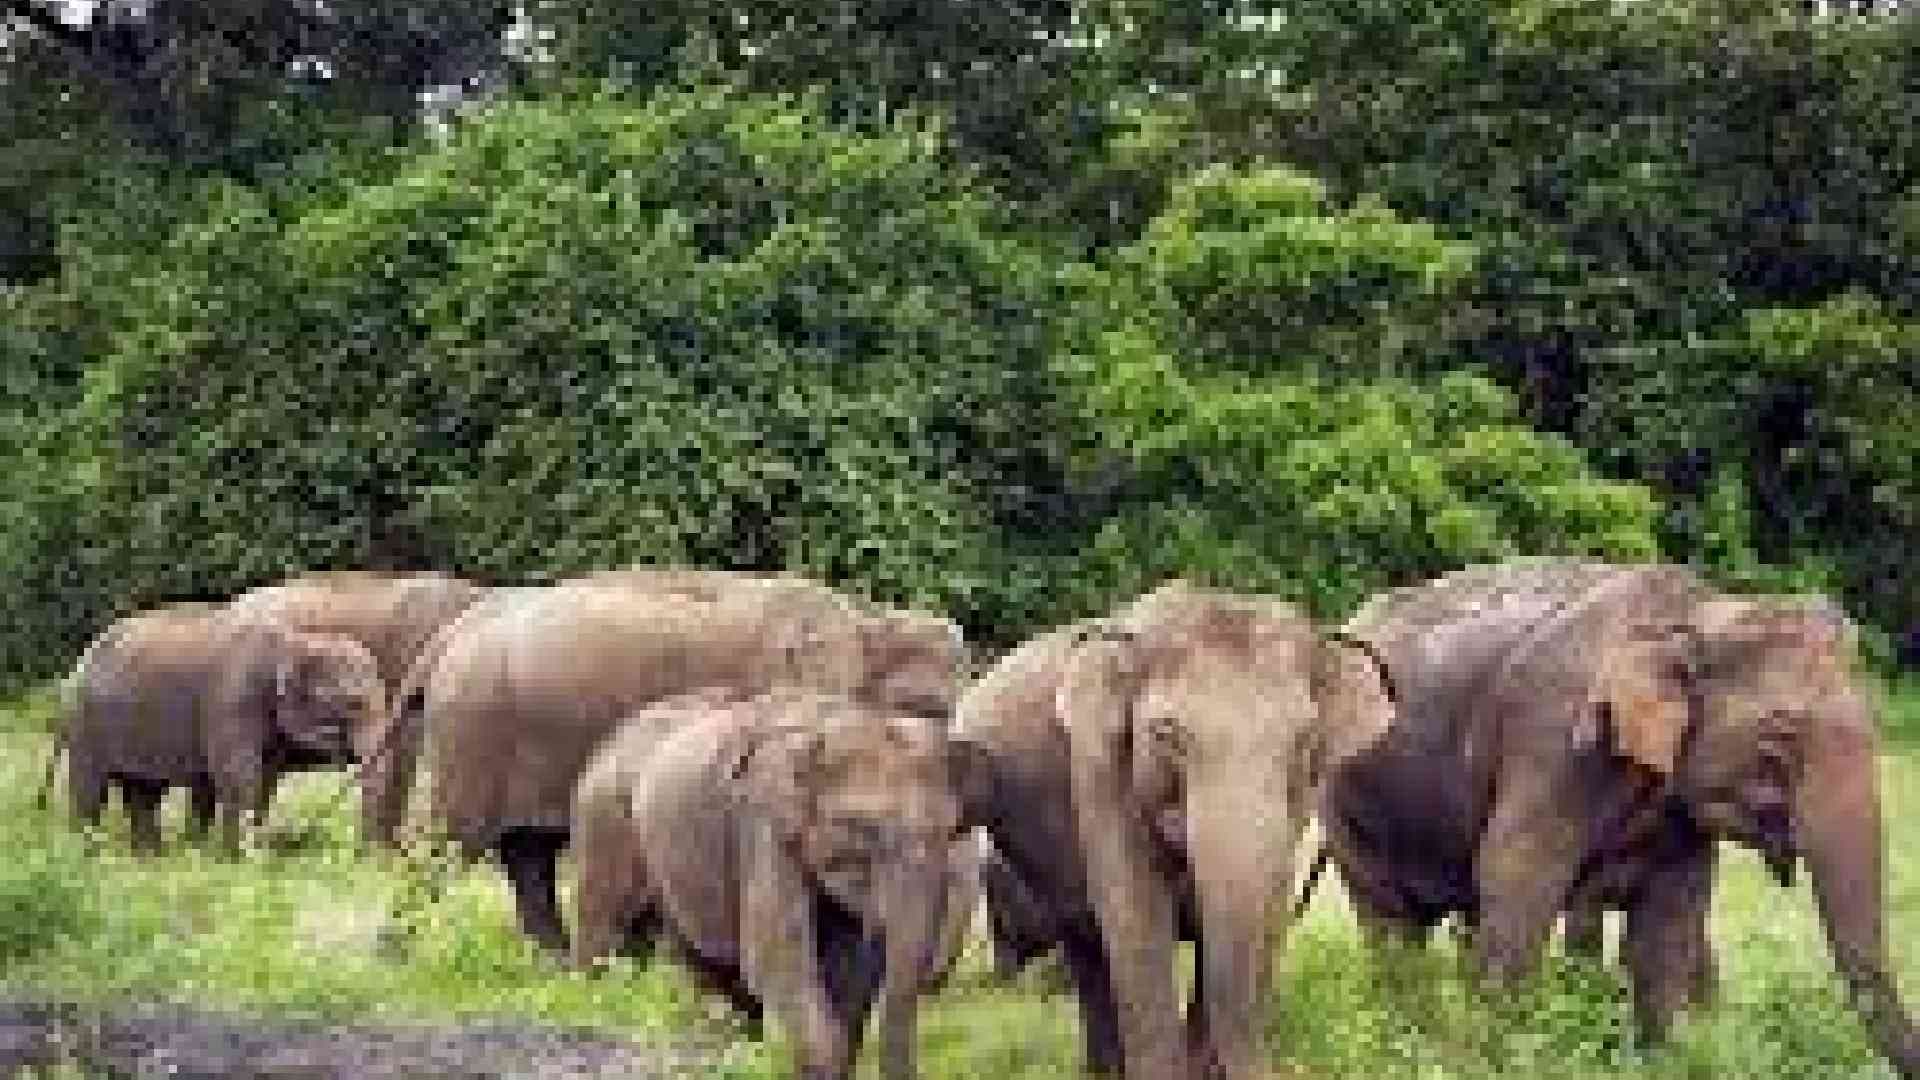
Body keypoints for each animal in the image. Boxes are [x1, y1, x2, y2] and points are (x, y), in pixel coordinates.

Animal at [56, 601, 387, 854]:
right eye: (354, 703)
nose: (297, 839)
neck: (297, 642)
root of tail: (80, 662)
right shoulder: (232, 703)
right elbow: (240, 777)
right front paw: (237, 858)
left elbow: (263, 781)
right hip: (84, 723)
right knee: (90, 789)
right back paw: (84, 854)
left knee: (144, 793)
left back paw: (149, 858)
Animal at [367, 569, 969, 953]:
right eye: (931, 708)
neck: (868, 621)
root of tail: (451, 633)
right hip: (476, 727)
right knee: (451, 839)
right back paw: (397, 955)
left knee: (528, 853)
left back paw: (557, 963)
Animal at [567, 687, 978, 1080]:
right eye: (861, 827)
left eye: (951, 831)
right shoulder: (763, 830)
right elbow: (776, 959)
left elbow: (850, 971)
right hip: (605, 816)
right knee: (605, 928)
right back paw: (594, 1000)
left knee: (699, 956)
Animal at [949, 580, 1399, 1079]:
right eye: (1166, 734)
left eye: (1304, 739)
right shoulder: (1100, 771)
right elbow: (1136, 912)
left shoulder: (1300, 801)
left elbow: (1264, 905)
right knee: (1088, 948)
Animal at [1314, 557, 1917, 1077]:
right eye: (1779, 736)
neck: (1696, 613)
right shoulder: (1553, 740)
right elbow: (1517, 882)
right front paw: (1506, 1063)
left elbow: (1670, 918)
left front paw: (1661, 1061)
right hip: (1345, 800)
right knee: (1393, 927)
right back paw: (1409, 1051)